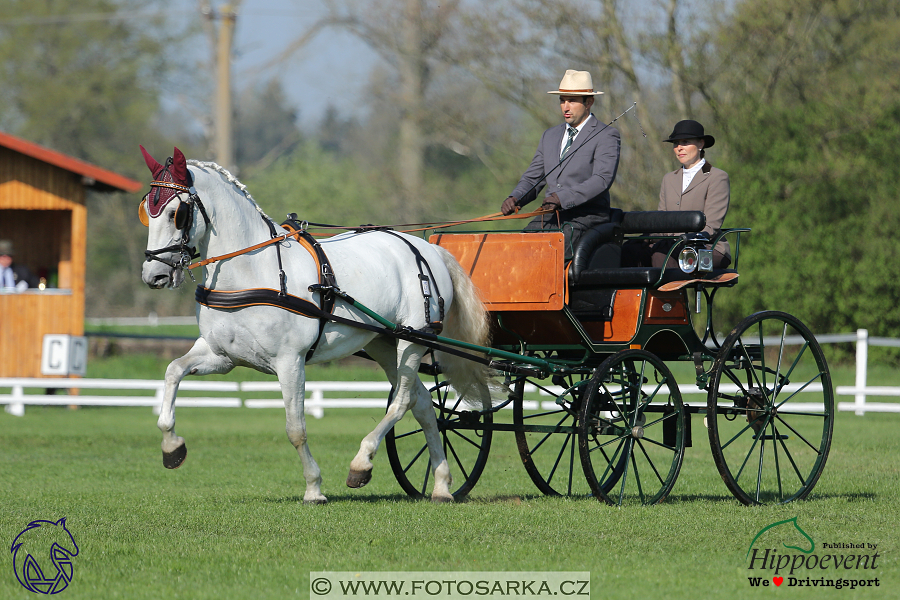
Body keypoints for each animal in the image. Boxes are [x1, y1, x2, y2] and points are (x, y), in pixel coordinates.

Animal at [139, 148, 492, 504]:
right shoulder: (221, 356)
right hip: (383, 342)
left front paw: (314, 487)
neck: (254, 271)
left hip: (413, 341)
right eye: (146, 213)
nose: (154, 275)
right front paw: (172, 447)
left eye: (176, 213)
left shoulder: (290, 361)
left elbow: (296, 428)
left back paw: (362, 463)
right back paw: (442, 484)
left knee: (403, 400)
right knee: (423, 404)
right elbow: (173, 371)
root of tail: (427, 248)